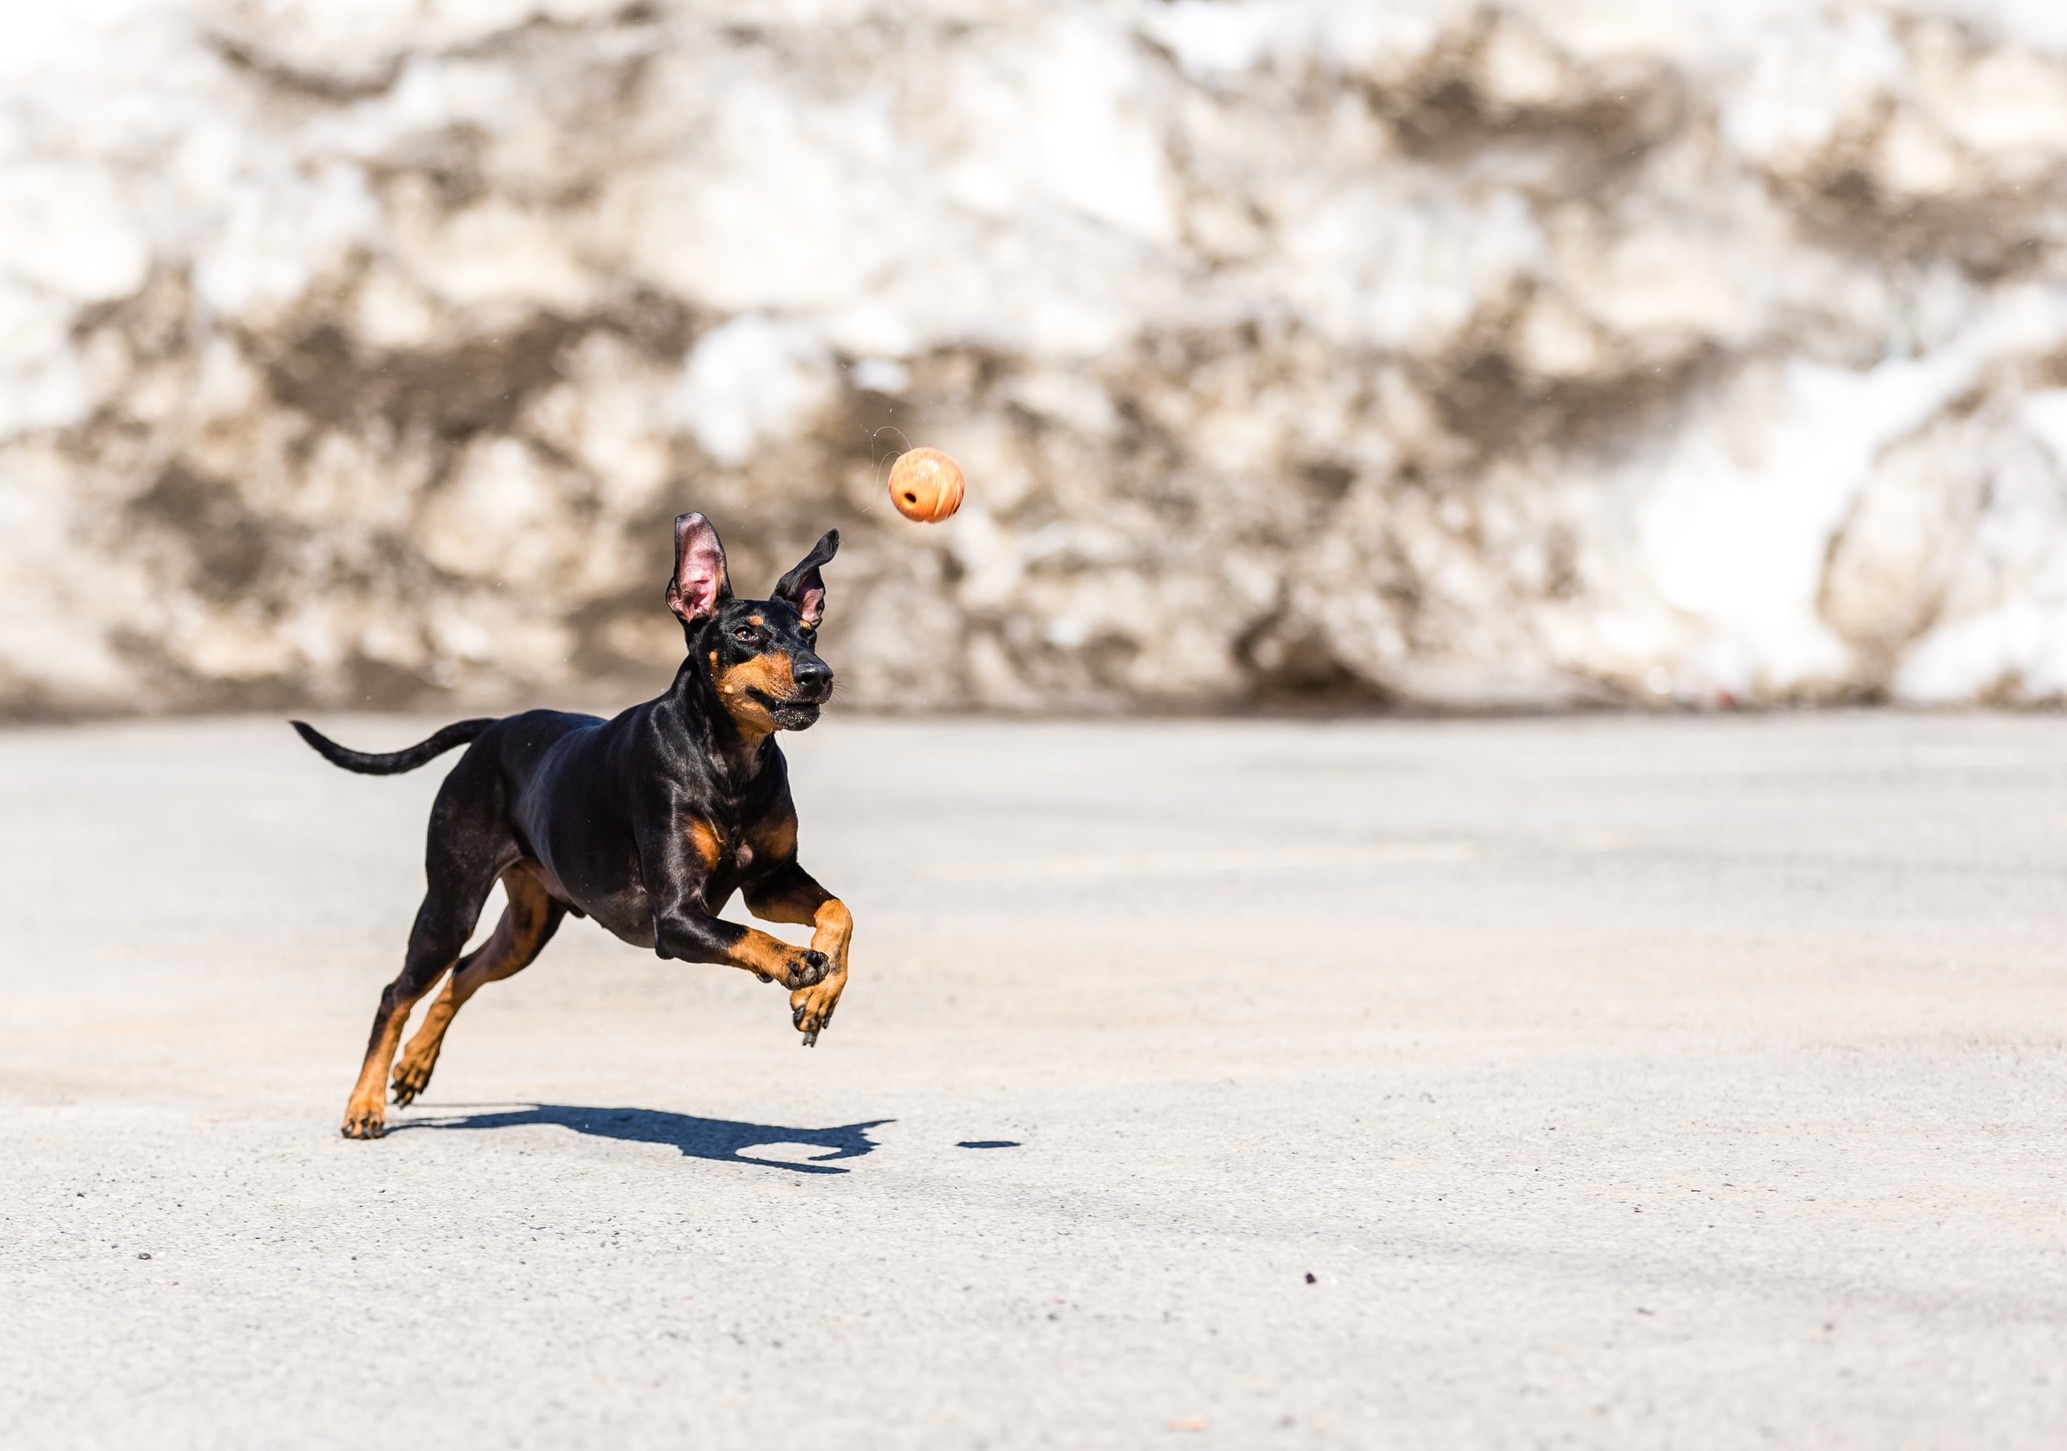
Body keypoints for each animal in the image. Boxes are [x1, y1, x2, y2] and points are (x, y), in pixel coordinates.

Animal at [295, 516, 851, 1140]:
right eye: (746, 633)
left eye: (809, 632)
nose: (818, 675)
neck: (729, 763)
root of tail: (493, 729)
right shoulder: (677, 920)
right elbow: (749, 936)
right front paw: (796, 963)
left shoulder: (768, 883)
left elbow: (838, 912)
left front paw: (820, 998)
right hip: (451, 906)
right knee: (399, 991)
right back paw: (363, 1105)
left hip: (527, 929)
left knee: (463, 973)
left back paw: (415, 1065)